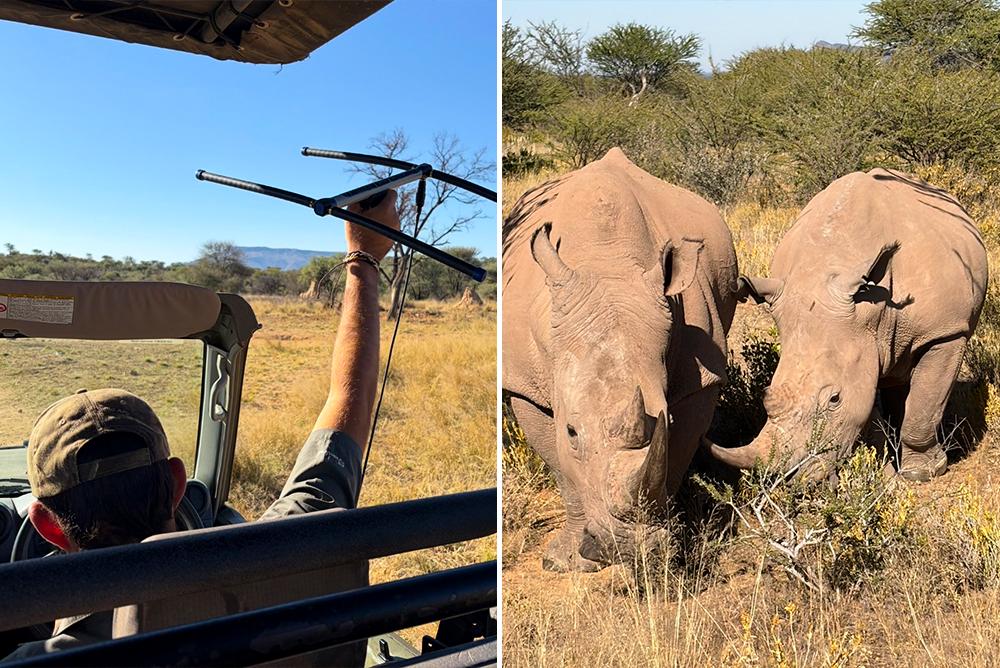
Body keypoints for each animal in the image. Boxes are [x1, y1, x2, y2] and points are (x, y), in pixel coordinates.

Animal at [502, 148, 739, 571]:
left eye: (667, 419)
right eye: (572, 431)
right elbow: (563, 469)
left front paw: (667, 556)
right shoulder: (523, 384)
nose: (627, 549)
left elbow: (676, 455)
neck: (607, 263)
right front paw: (565, 561)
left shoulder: (701, 376)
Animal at [709, 169, 988, 481]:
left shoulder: (945, 332)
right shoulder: (861, 340)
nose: (795, 479)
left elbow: (924, 406)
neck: (874, 310)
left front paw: (924, 472)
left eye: (834, 399)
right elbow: (866, 404)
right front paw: (882, 470)